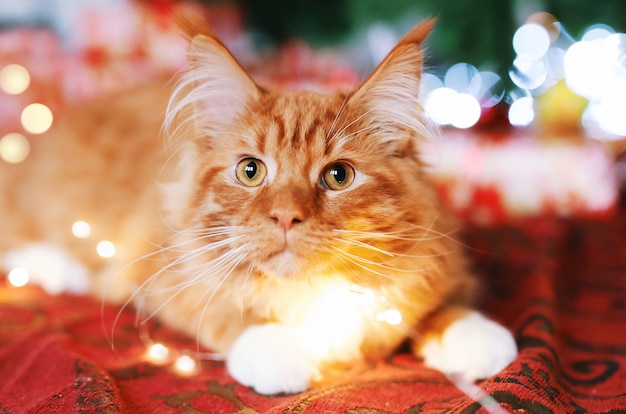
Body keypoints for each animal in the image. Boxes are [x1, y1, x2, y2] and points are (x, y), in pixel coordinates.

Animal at [0, 20, 516, 394]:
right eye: (251, 171)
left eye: (339, 176)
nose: (285, 216)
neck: (317, 292)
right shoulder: (162, 266)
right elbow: (230, 310)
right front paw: (276, 351)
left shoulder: (438, 258)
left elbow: (443, 305)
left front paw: (473, 335)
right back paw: (54, 267)